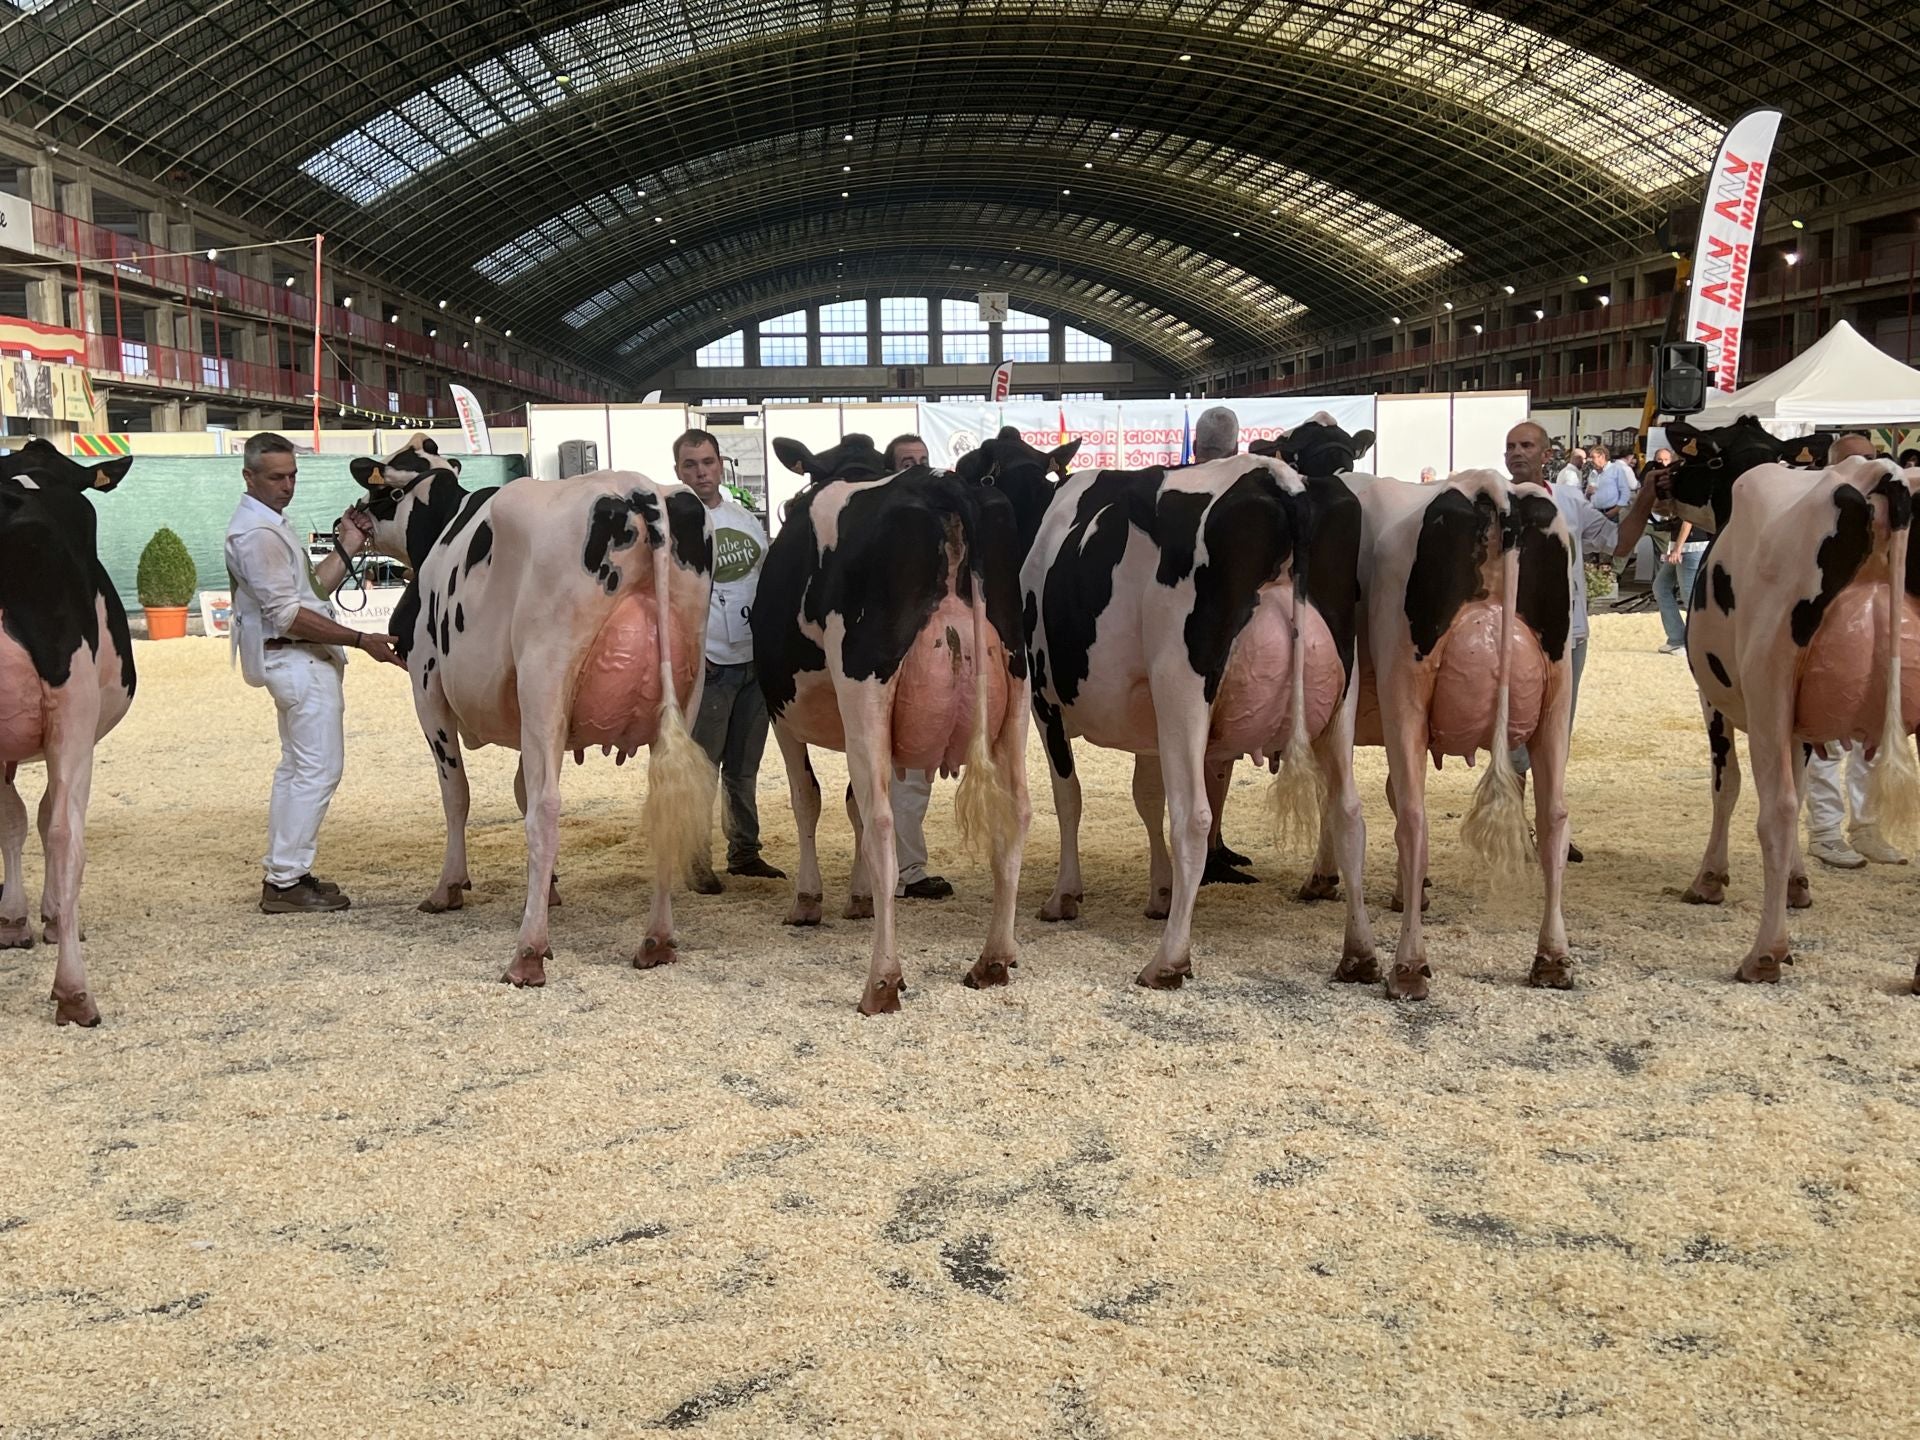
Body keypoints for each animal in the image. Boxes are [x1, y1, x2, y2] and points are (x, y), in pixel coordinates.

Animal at [351, 436, 715, 986]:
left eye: (381, 487)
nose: (349, 518)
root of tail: (639, 490)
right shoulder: (530, 720)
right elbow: (521, 788)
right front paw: (549, 887)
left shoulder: (427, 686)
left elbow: (458, 794)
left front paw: (449, 886)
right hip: (686, 678)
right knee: (666, 803)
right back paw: (656, 940)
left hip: (546, 670)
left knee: (547, 807)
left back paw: (528, 951)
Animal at [755, 431, 1066, 1014]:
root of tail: (945, 486)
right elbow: (847, 802)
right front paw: (857, 897)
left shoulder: (780, 709)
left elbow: (810, 799)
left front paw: (809, 900)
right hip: (1016, 688)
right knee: (1018, 810)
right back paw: (995, 958)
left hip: (866, 687)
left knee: (881, 820)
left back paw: (881, 980)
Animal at [1022, 433, 1375, 991]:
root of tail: (1283, 482)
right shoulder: (1148, 723)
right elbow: (1147, 797)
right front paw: (1160, 893)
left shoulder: (1044, 700)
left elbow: (1069, 798)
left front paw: (1065, 895)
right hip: (1343, 686)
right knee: (1348, 814)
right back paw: (1360, 953)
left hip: (1183, 684)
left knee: (1194, 817)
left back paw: (1168, 959)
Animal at [1299, 458, 1577, 998]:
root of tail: (1489, 487)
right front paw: (1407, 890)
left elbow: (1339, 795)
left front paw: (1328, 878)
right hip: (1557, 690)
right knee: (1553, 817)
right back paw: (1552, 958)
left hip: (1404, 687)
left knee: (1414, 818)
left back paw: (1408, 965)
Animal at [1661, 420, 1920, 991]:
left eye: (1704, 457)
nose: (1660, 480)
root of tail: (1879, 472)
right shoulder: (1804, 720)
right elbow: (1803, 789)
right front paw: (1799, 884)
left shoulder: (1717, 697)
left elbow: (1730, 786)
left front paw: (1709, 879)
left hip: (1767, 682)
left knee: (1774, 809)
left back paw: (1765, 953)